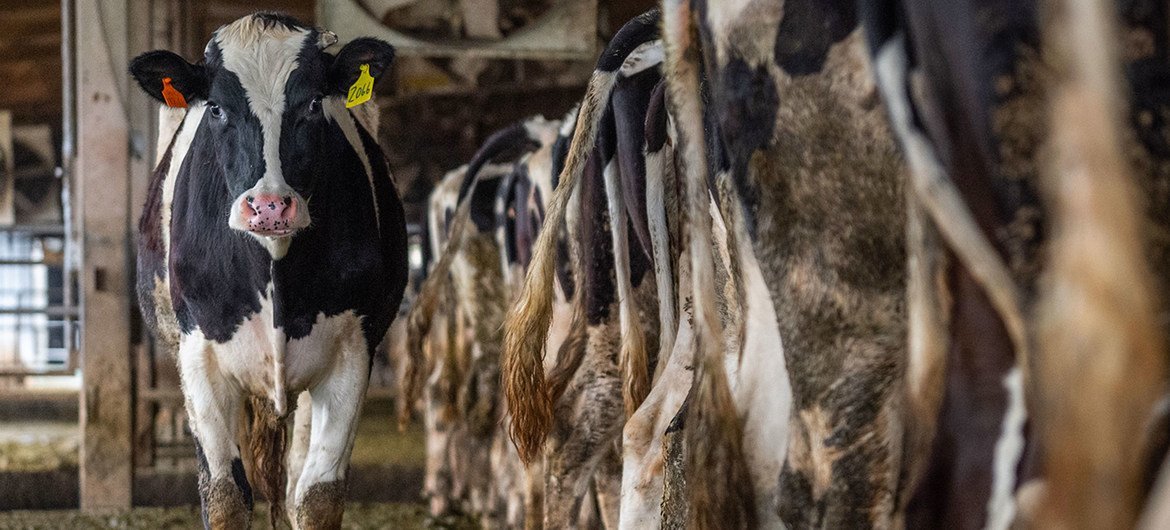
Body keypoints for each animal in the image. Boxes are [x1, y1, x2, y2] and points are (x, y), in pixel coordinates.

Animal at [129, 12, 407, 528]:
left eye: (314, 103)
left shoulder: (351, 353)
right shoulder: (200, 355)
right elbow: (225, 497)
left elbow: (317, 497)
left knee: (295, 475)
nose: (270, 207)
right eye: (217, 108)